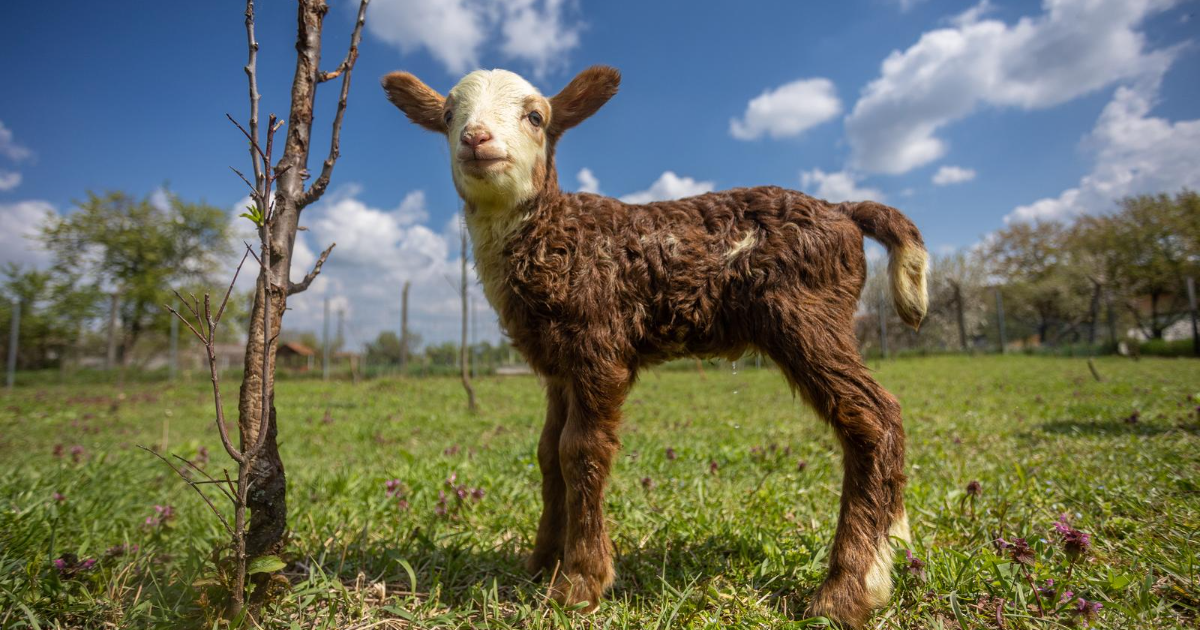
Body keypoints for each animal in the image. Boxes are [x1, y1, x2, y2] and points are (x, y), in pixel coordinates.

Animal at [381, 63, 926, 624]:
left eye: (535, 117)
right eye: (448, 116)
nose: (476, 138)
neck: (555, 236)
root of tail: (843, 209)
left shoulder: (599, 341)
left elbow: (580, 450)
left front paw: (580, 582)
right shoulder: (559, 363)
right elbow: (548, 452)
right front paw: (541, 562)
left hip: (807, 313)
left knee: (872, 415)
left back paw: (847, 590)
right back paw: (892, 542)